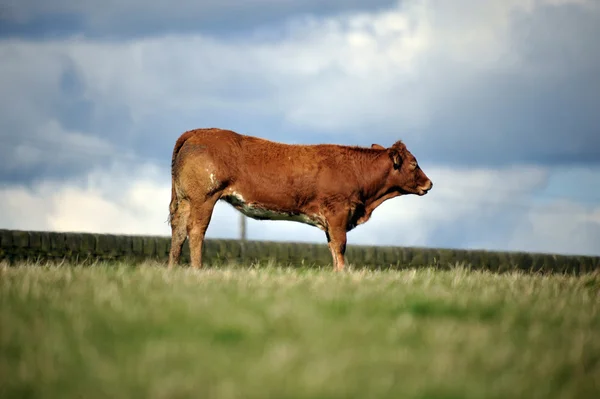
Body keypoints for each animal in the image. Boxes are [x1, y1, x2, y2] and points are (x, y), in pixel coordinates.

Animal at [169, 128, 432, 272]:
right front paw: (342, 274)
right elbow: (340, 245)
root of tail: (198, 132)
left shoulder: (330, 220)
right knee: (195, 230)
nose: (429, 183)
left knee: (179, 230)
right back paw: (197, 268)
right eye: (414, 163)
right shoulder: (337, 213)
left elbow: (332, 247)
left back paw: (173, 268)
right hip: (204, 198)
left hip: (185, 199)